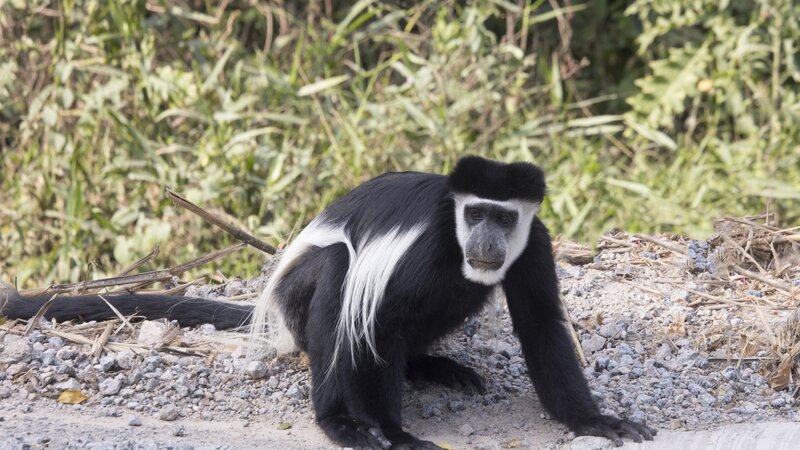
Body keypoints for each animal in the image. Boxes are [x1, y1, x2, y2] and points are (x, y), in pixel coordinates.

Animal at [3, 157, 656, 446]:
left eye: (503, 217)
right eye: (475, 214)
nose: (486, 243)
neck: (458, 235)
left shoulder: (534, 243)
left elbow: (542, 325)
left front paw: (593, 421)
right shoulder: (428, 246)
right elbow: (379, 323)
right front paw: (393, 433)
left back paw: (432, 367)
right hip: (298, 297)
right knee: (339, 276)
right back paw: (339, 422)